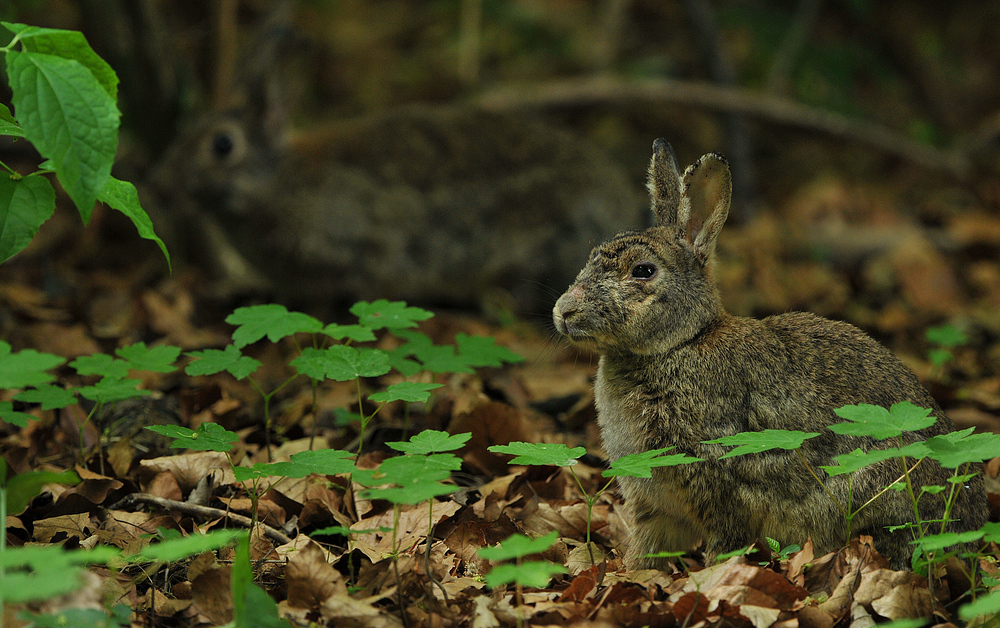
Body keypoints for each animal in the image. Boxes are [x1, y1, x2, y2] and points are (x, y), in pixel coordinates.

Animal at [552, 140, 988, 572]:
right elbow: (648, 552)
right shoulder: (655, 506)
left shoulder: (721, 480)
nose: (564, 311)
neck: (681, 343)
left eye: (643, 271)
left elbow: (725, 541)